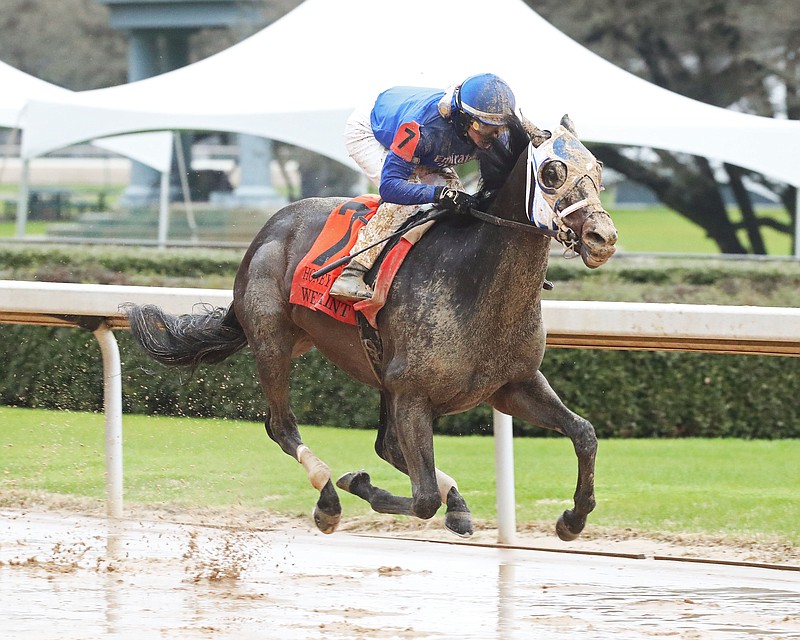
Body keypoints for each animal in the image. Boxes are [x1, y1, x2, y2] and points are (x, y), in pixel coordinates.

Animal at [126, 115, 620, 540]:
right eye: (553, 171)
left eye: (597, 167)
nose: (604, 238)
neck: (474, 280)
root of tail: (268, 230)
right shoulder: (412, 394)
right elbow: (422, 499)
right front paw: (359, 484)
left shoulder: (511, 385)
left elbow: (585, 434)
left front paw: (572, 519)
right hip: (272, 341)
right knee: (282, 426)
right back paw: (329, 499)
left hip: (365, 368)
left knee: (386, 447)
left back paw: (456, 504)